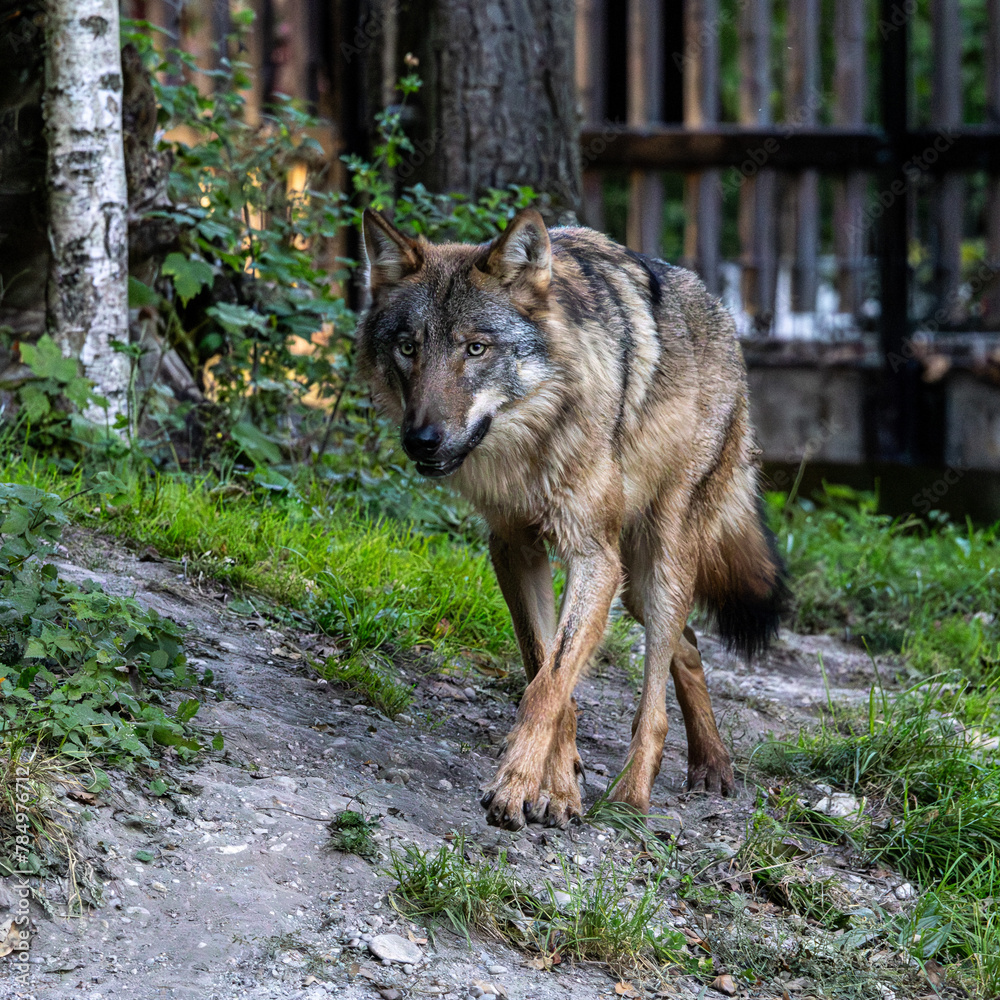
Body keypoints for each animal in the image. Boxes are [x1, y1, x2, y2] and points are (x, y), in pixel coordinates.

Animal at [357, 207, 788, 831]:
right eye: (409, 347)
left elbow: (548, 685)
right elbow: (546, 670)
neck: (531, 446)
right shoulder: (514, 548)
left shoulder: (591, 557)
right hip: (632, 582)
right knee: (687, 645)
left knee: (656, 696)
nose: (422, 440)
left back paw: (632, 797)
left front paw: (515, 787)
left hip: (658, 564)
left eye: (476, 348)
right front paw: (556, 789)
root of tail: (723, 313)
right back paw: (711, 764)